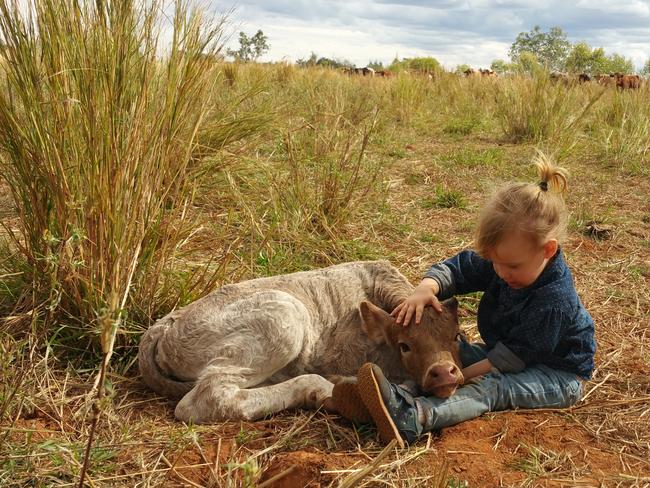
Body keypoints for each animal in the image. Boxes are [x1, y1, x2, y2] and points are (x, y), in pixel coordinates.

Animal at [138, 262, 460, 426]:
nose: (443, 372)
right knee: (209, 397)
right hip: (282, 316)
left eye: (456, 336)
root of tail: (168, 321)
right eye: (404, 345)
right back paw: (324, 389)